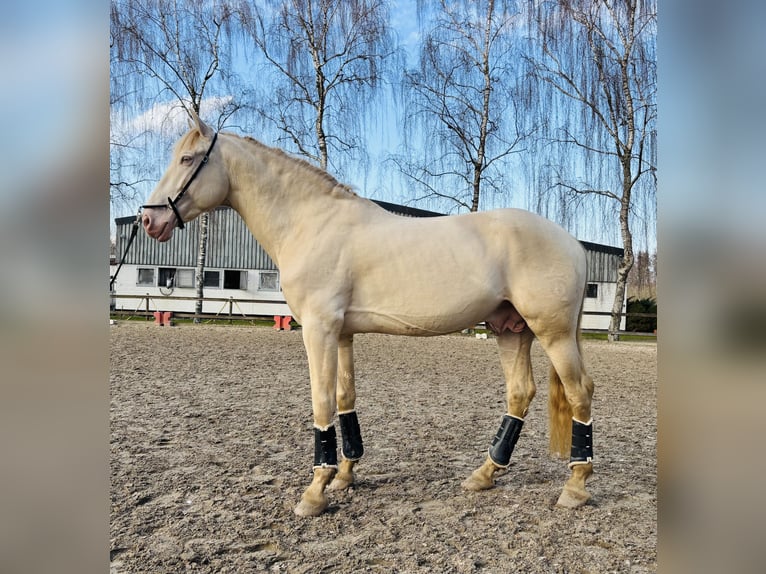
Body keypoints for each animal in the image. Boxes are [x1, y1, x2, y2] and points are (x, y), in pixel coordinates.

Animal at [141, 113, 595, 517]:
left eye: (187, 159)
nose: (149, 219)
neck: (311, 223)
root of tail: (572, 242)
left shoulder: (319, 330)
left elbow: (322, 402)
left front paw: (315, 492)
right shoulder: (342, 333)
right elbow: (345, 399)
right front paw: (344, 475)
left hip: (552, 334)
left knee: (580, 393)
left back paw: (575, 487)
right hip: (510, 329)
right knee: (520, 393)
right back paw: (484, 475)